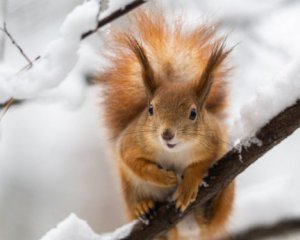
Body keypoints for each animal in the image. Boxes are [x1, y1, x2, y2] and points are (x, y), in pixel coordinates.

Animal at [97, 7, 236, 240]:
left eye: (193, 113)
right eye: (150, 109)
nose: (167, 134)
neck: (173, 152)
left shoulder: (214, 139)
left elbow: (202, 163)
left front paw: (187, 185)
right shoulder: (131, 143)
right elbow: (134, 162)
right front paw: (165, 178)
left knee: (210, 220)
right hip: (130, 191)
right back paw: (144, 206)